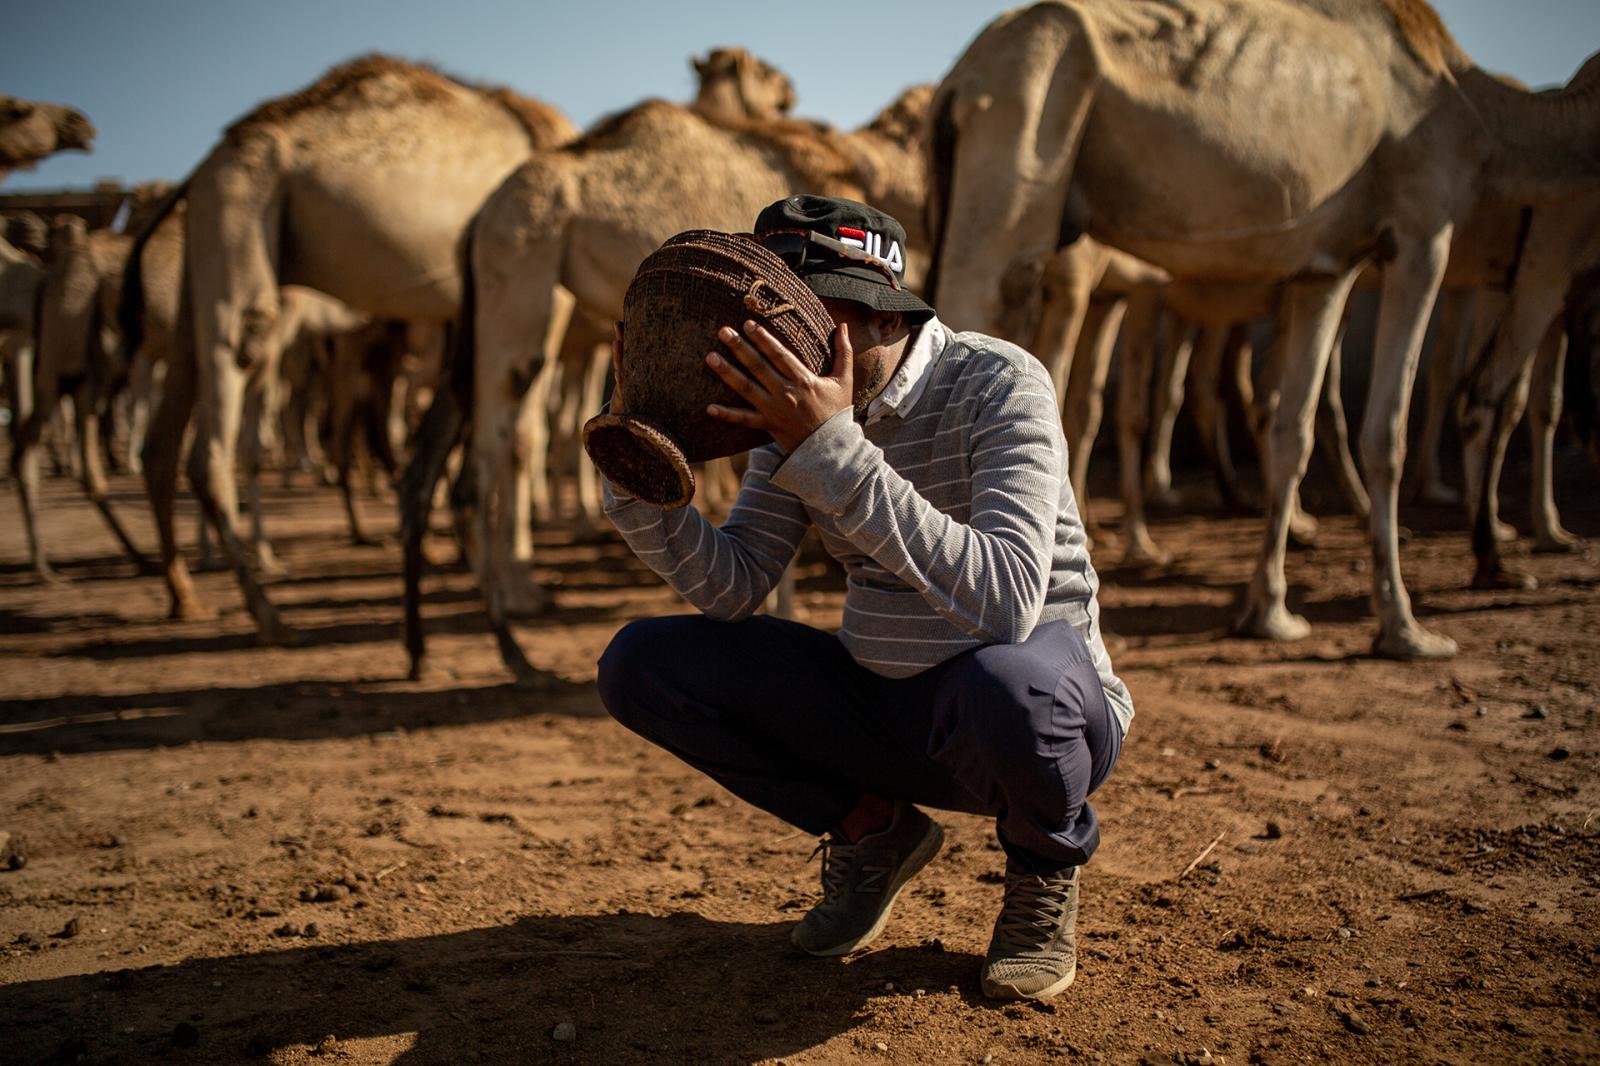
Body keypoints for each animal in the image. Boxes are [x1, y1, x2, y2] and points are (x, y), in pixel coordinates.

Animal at [121, 56, 579, 640]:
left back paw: (187, 597)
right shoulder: (541, 298)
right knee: (218, 426)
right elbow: (522, 439)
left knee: (163, 439)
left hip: (199, 265)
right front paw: (523, 590)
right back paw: (268, 613)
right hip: (239, 205)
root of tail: (198, 171)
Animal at [403, 85, 934, 681]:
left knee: (435, 457)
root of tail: (481, 217)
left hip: (480, 307)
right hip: (520, 274)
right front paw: (785, 610)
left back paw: (424, 649)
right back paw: (511, 645)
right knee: (488, 453)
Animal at [928, 0, 1600, 656]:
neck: (1478, 109)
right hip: (1027, 132)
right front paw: (1406, 626)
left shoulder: (1326, 268)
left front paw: (1271, 611)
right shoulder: (1425, 229)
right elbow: (1389, 432)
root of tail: (959, 80)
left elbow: (1292, 427)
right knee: (994, 299)